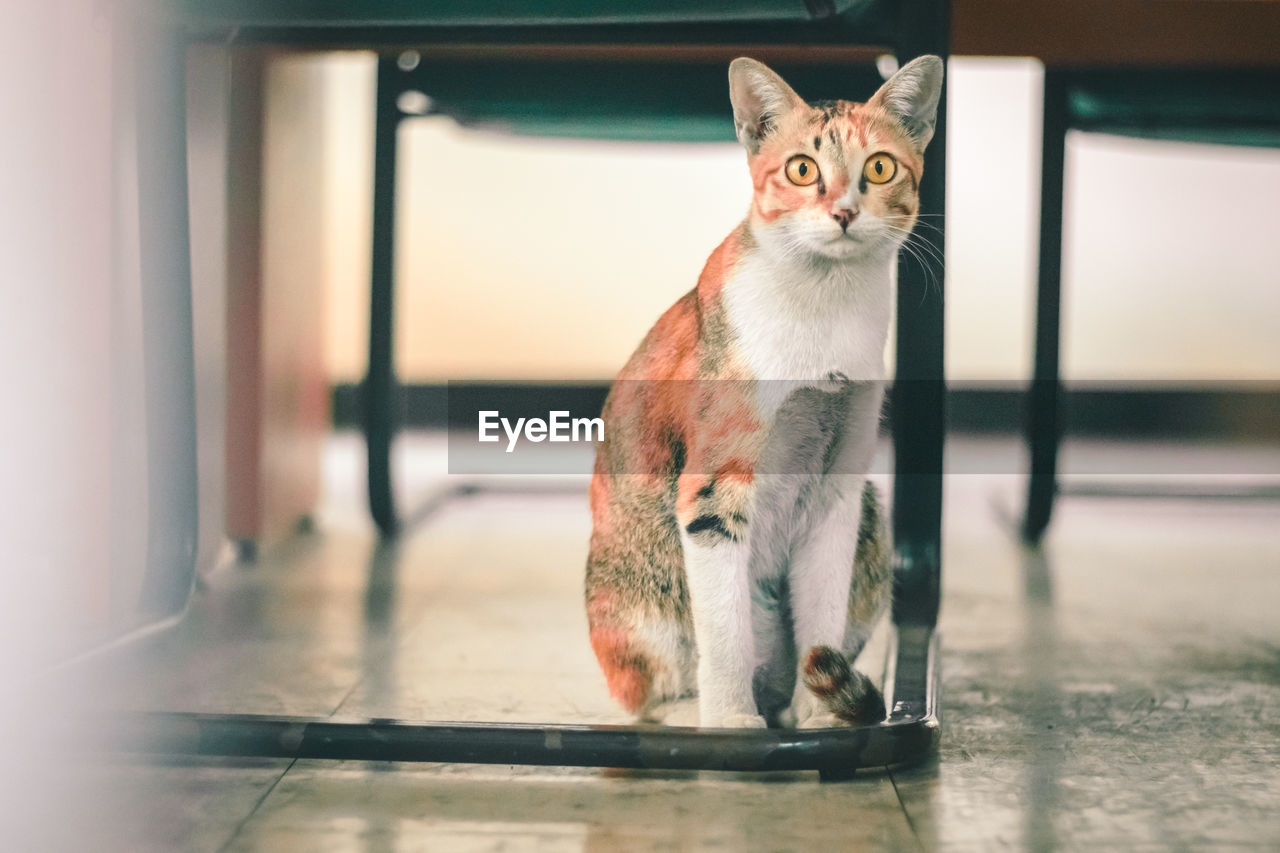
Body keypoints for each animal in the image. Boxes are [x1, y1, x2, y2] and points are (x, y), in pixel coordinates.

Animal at [583, 56, 942, 727]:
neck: (824, 309)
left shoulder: (838, 487)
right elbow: (725, 633)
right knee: (649, 692)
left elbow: (822, 614)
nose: (844, 211)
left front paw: (823, 714)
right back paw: (698, 713)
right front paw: (730, 723)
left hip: (872, 523)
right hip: (640, 587)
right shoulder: (714, 487)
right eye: (802, 170)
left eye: (879, 167)